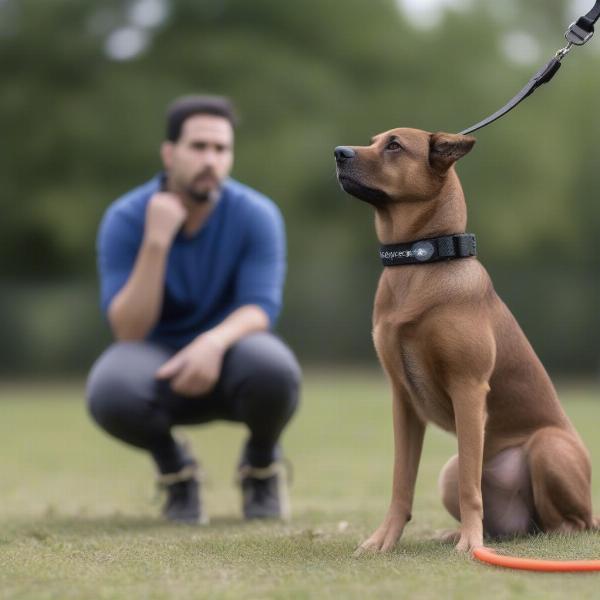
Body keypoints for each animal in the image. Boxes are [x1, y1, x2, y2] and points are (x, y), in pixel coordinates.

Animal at [332, 129, 596, 556]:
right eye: (374, 140)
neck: (419, 265)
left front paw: (471, 544)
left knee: (571, 523)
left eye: (394, 145)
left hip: (547, 447)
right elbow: (401, 482)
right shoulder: (403, 401)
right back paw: (459, 533)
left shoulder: (469, 389)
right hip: (448, 474)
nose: (339, 153)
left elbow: (473, 488)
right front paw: (383, 539)